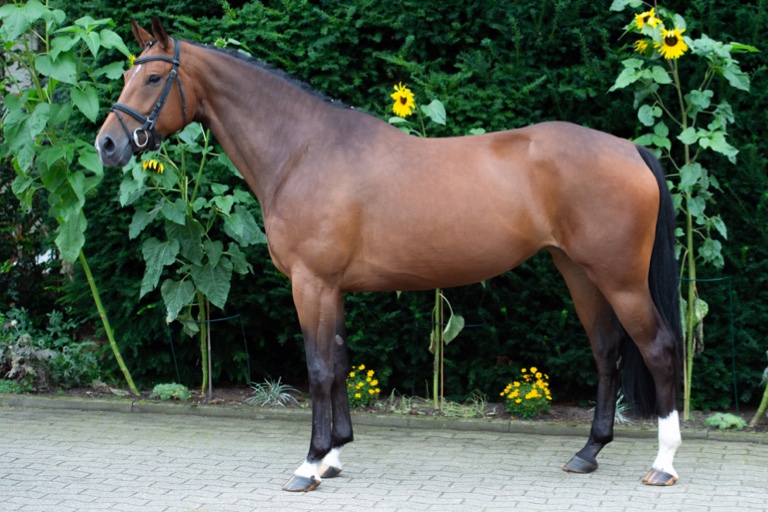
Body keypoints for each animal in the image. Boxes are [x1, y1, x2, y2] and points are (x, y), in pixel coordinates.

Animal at [95, 18, 683, 492]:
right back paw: (588, 452)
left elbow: (318, 368)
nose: (107, 145)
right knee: (607, 352)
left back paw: (663, 463)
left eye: (153, 78)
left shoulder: (310, 283)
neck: (303, 150)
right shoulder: (330, 287)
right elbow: (337, 360)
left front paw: (309, 466)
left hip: (620, 279)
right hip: (579, 273)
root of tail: (629, 147)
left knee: (658, 349)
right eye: (127, 75)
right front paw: (334, 456)